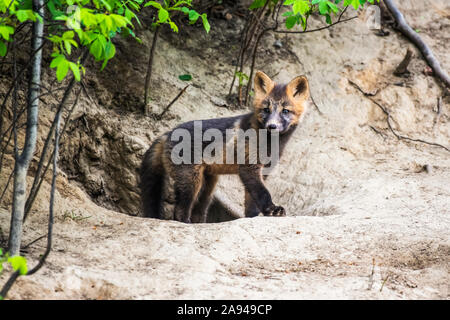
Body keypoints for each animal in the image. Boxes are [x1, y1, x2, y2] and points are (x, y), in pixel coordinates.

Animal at [140, 71, 310, 224]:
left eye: (285, 111)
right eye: (266, 110)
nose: (272, 126)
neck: (269, 144)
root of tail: (168, 132)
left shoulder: (264, 171)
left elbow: (252, 204)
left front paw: (252, 218)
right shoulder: (249, 168)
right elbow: (263, 194)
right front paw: (272, 210)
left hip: (208, 187)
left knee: (198, 213)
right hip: (191, 183)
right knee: (179, 211)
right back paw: (185, 223)